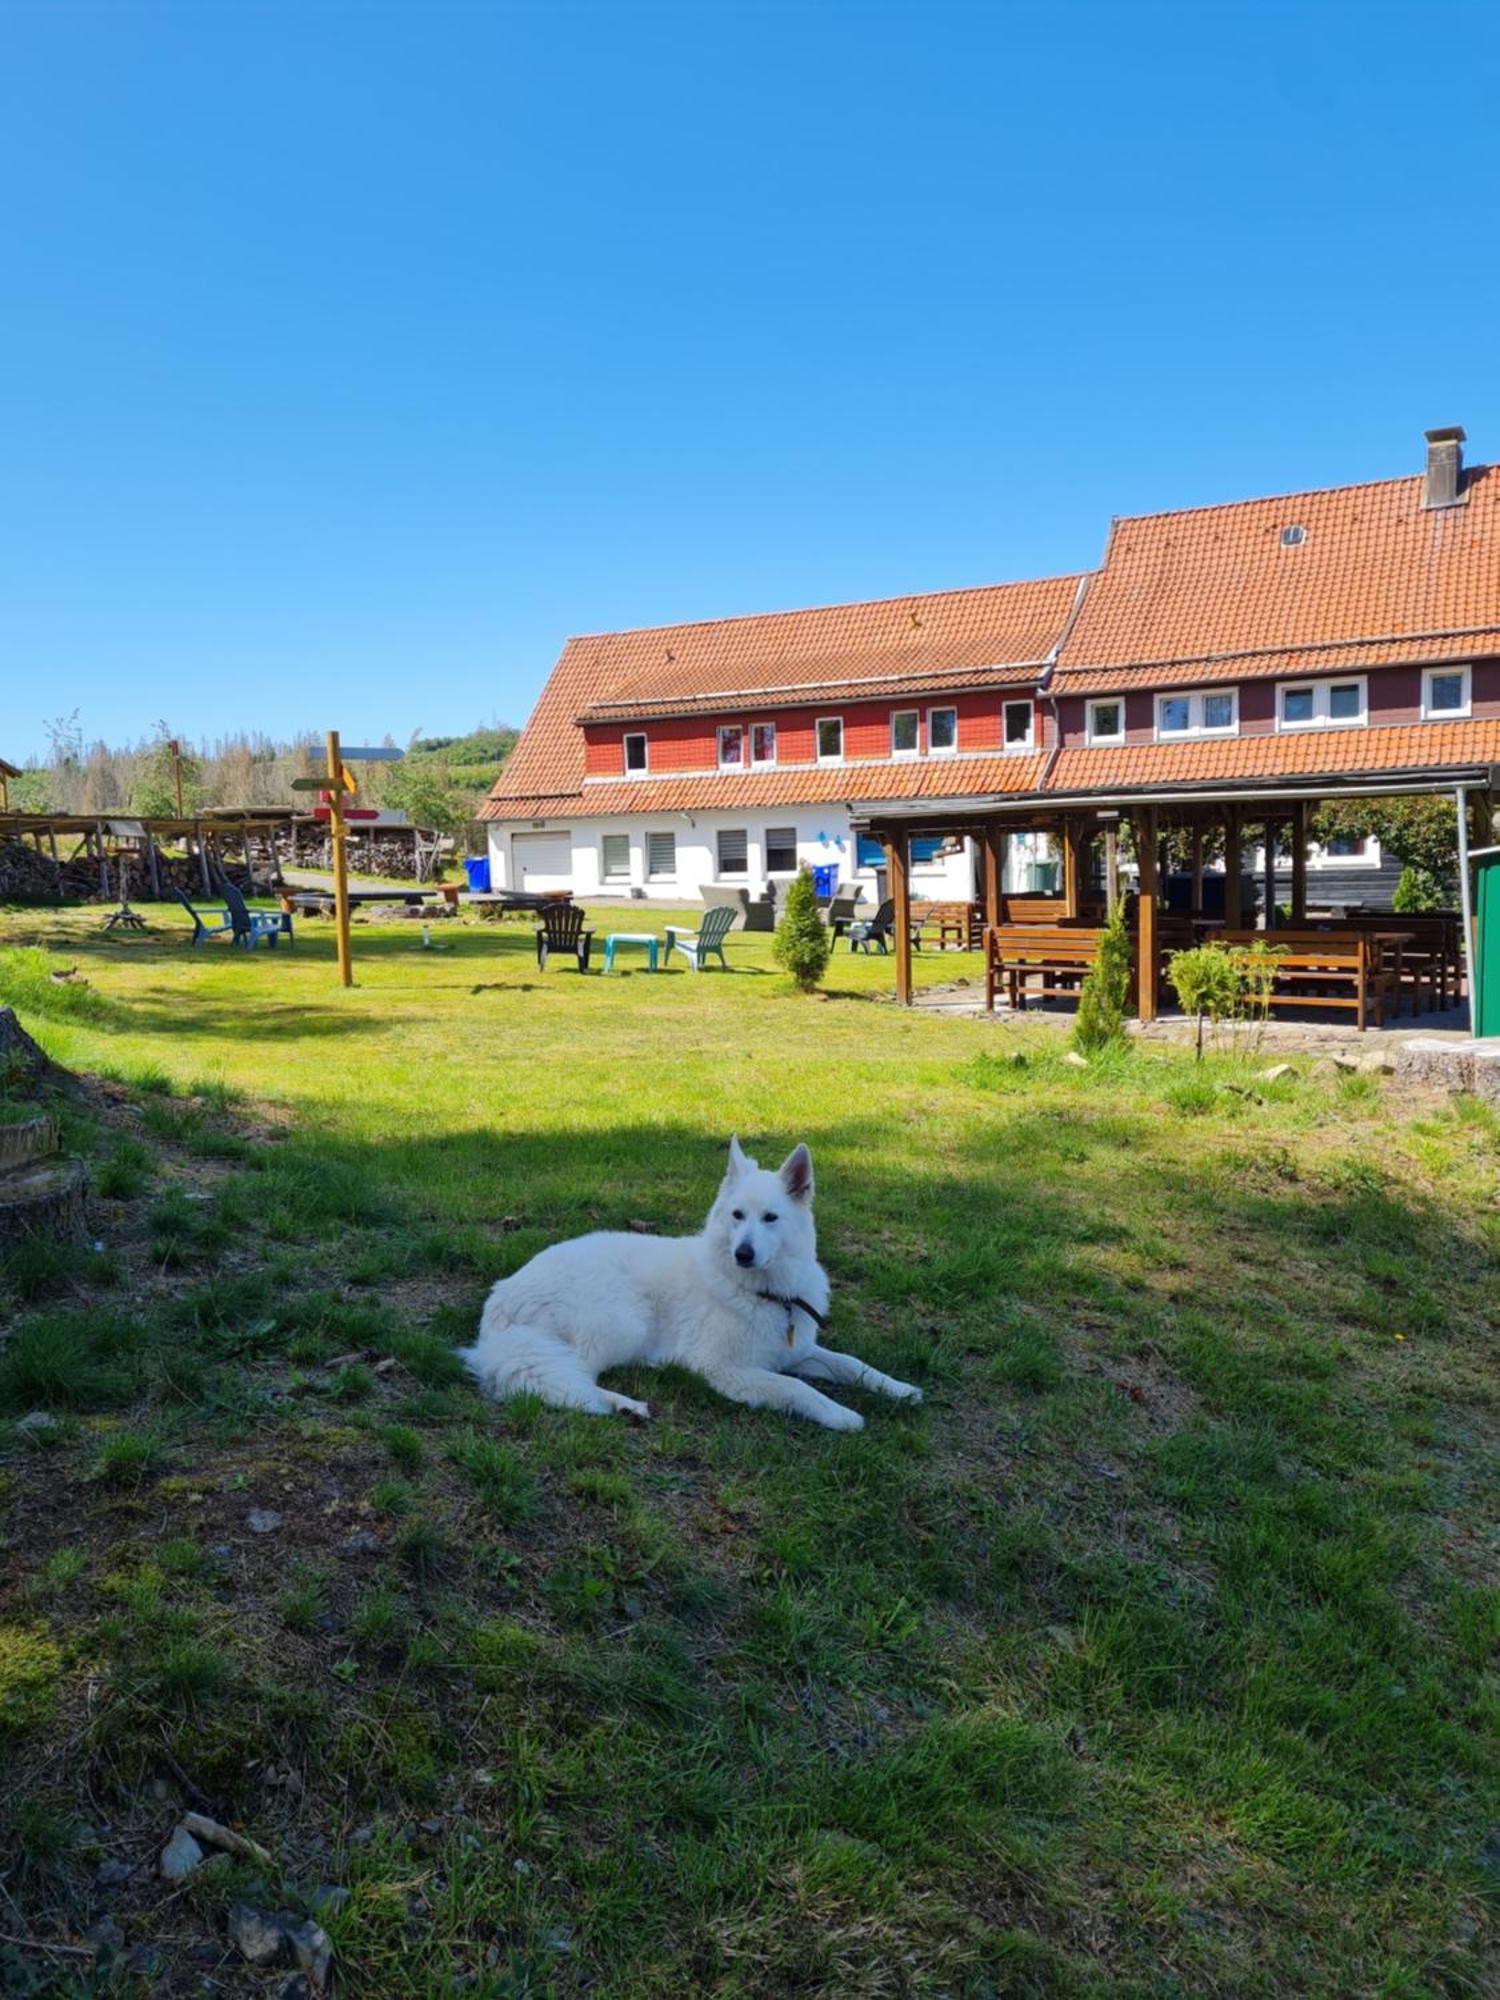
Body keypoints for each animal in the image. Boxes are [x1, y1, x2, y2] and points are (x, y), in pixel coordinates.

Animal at [464, 1136, 924, 1432]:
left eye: (770, 1218)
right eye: (737, 1215)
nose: (743, 1254)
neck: (765, 1293)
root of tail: (500, 1299)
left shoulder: (798, 1351)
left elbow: (853, 1365)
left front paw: (901, 1389)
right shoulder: (725, 1368)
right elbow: (796, 1387)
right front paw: (842, 1415)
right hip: (621, 1322)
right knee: (559, 1381)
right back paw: (624, 1404)